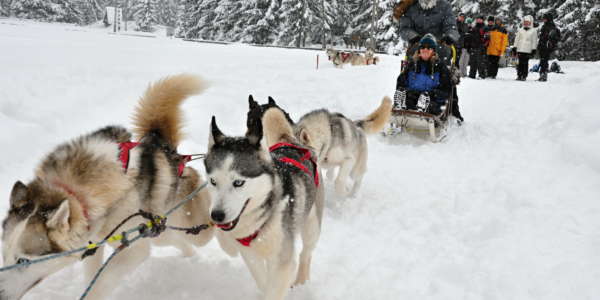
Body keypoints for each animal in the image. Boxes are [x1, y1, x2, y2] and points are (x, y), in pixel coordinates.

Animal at [0, 74, 213, 298]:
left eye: (22, 260)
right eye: (4, 255)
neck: (75, 191)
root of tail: (158, 142)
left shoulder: (132, 251)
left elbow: (100, 284)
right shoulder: (93, 244)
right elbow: (92, 276)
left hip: (190, 222)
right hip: (156, 229)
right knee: (173, 239)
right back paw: (190, 255)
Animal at [205, 98, 324, 300]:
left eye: (238, 182)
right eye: (213, 181)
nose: (217, 216)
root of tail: (289, 141)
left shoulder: (282, 259)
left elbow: (274, 286)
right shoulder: (250, 253)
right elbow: (262, 279)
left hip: (312, 225)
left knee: (306, 253)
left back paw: (301, 280)